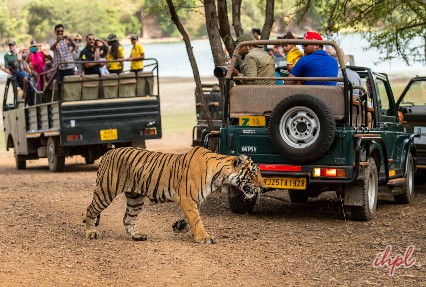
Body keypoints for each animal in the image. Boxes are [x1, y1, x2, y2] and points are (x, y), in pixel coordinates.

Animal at [85, 147, 262, 244]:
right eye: (253, 173)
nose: (262, 186)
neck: (220, 177)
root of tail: (108, 152)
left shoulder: (195, 200)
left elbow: (192, 217)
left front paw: (181, 226)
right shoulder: (186, 198)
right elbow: (196, 219)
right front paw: (203, 237)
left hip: (136, 198)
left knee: (127, 219)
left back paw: (137, 236)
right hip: (106, 191)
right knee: (90, 210)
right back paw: (91, 232)